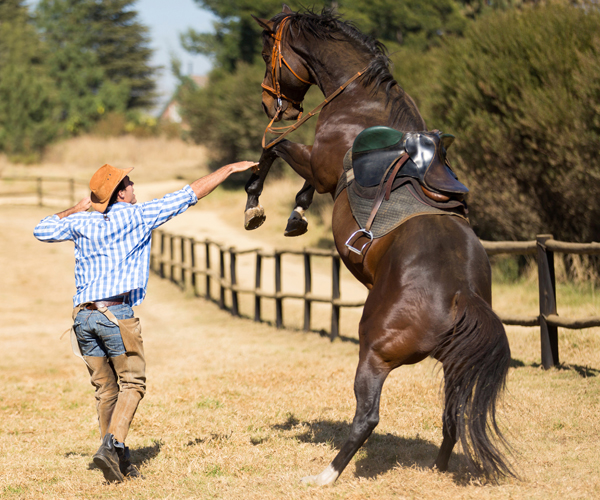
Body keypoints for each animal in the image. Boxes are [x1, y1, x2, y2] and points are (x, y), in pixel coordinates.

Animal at [246, 4, 512, 484]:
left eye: (265, 54)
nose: (268, 102)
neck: (359, 102)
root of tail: (461, 296)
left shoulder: (318, 164)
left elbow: (272, 145)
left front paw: (254, 202)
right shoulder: (321, 174)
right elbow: (294, 177)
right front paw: (295, 214)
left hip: (373, 350)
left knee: (367, 416)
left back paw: (325, 475)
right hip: (454, 365)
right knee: (452, 415)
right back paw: (437, 469)